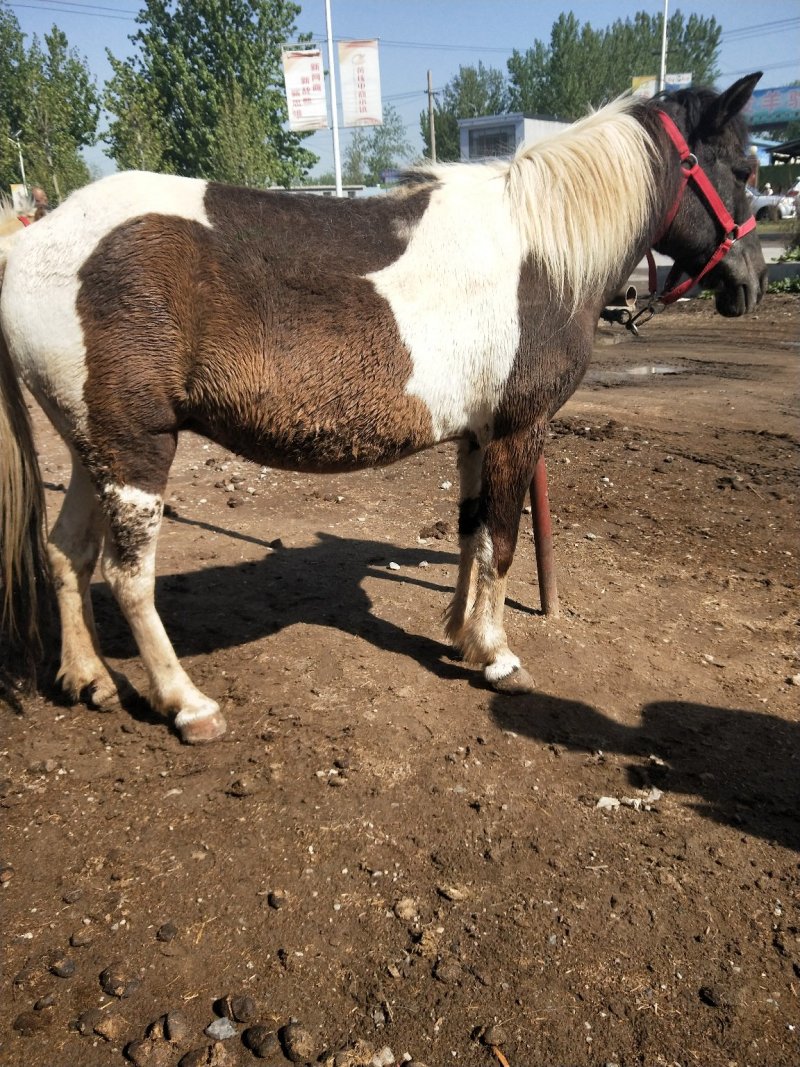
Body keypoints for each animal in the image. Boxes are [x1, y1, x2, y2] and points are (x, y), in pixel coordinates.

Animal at [0, 74, 767, 744]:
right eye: (746, 169)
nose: (753, 284)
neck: (540, 253)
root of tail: (30, 243)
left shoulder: (476, 435)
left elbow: (473, 533)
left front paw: (462, 633)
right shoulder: (520, 430)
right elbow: (505, 542)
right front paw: (498, 655)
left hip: (90, 447)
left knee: (66, 551)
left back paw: (89, 677)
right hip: (137, 448)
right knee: (128, 576)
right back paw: (187, 703)